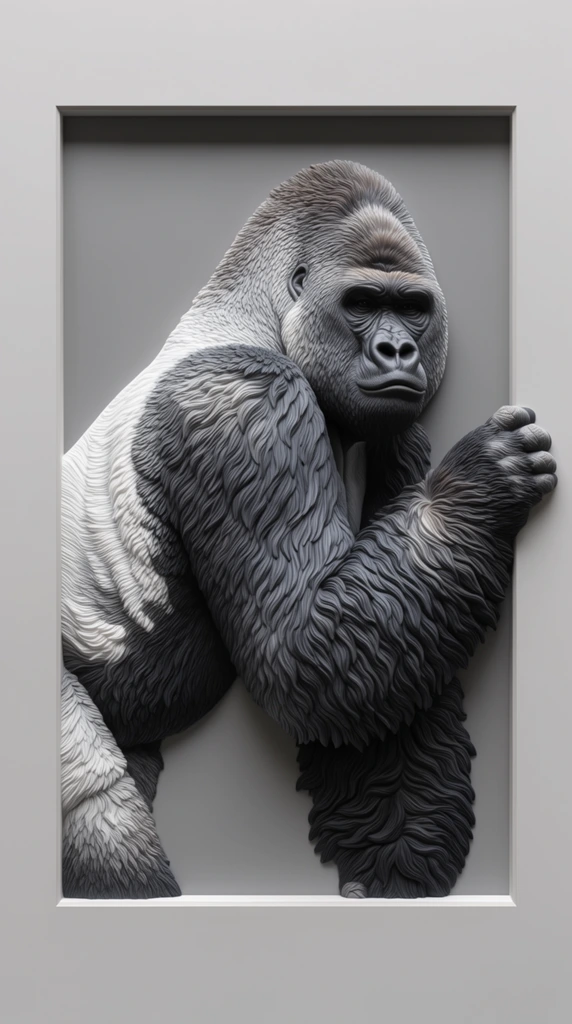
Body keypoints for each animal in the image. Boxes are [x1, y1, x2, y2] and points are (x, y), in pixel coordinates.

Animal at [61, 160, 556, 899]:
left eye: (414, 308)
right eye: (361, 301)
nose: (396, 349)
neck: (256, 314)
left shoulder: (394, 434)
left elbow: (378, 671)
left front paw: (397, 867)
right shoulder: (246, 408)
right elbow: (302, 652)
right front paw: (483, 486)